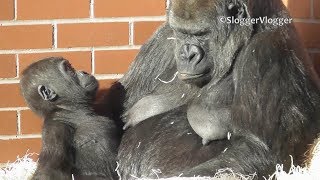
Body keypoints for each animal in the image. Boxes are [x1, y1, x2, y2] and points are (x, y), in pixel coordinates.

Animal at [110, 0, 320, 179]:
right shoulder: (163, 36)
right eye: (181, 32)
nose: (187, 55)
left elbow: (256, 149)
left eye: (202, 34)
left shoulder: (267, 50)